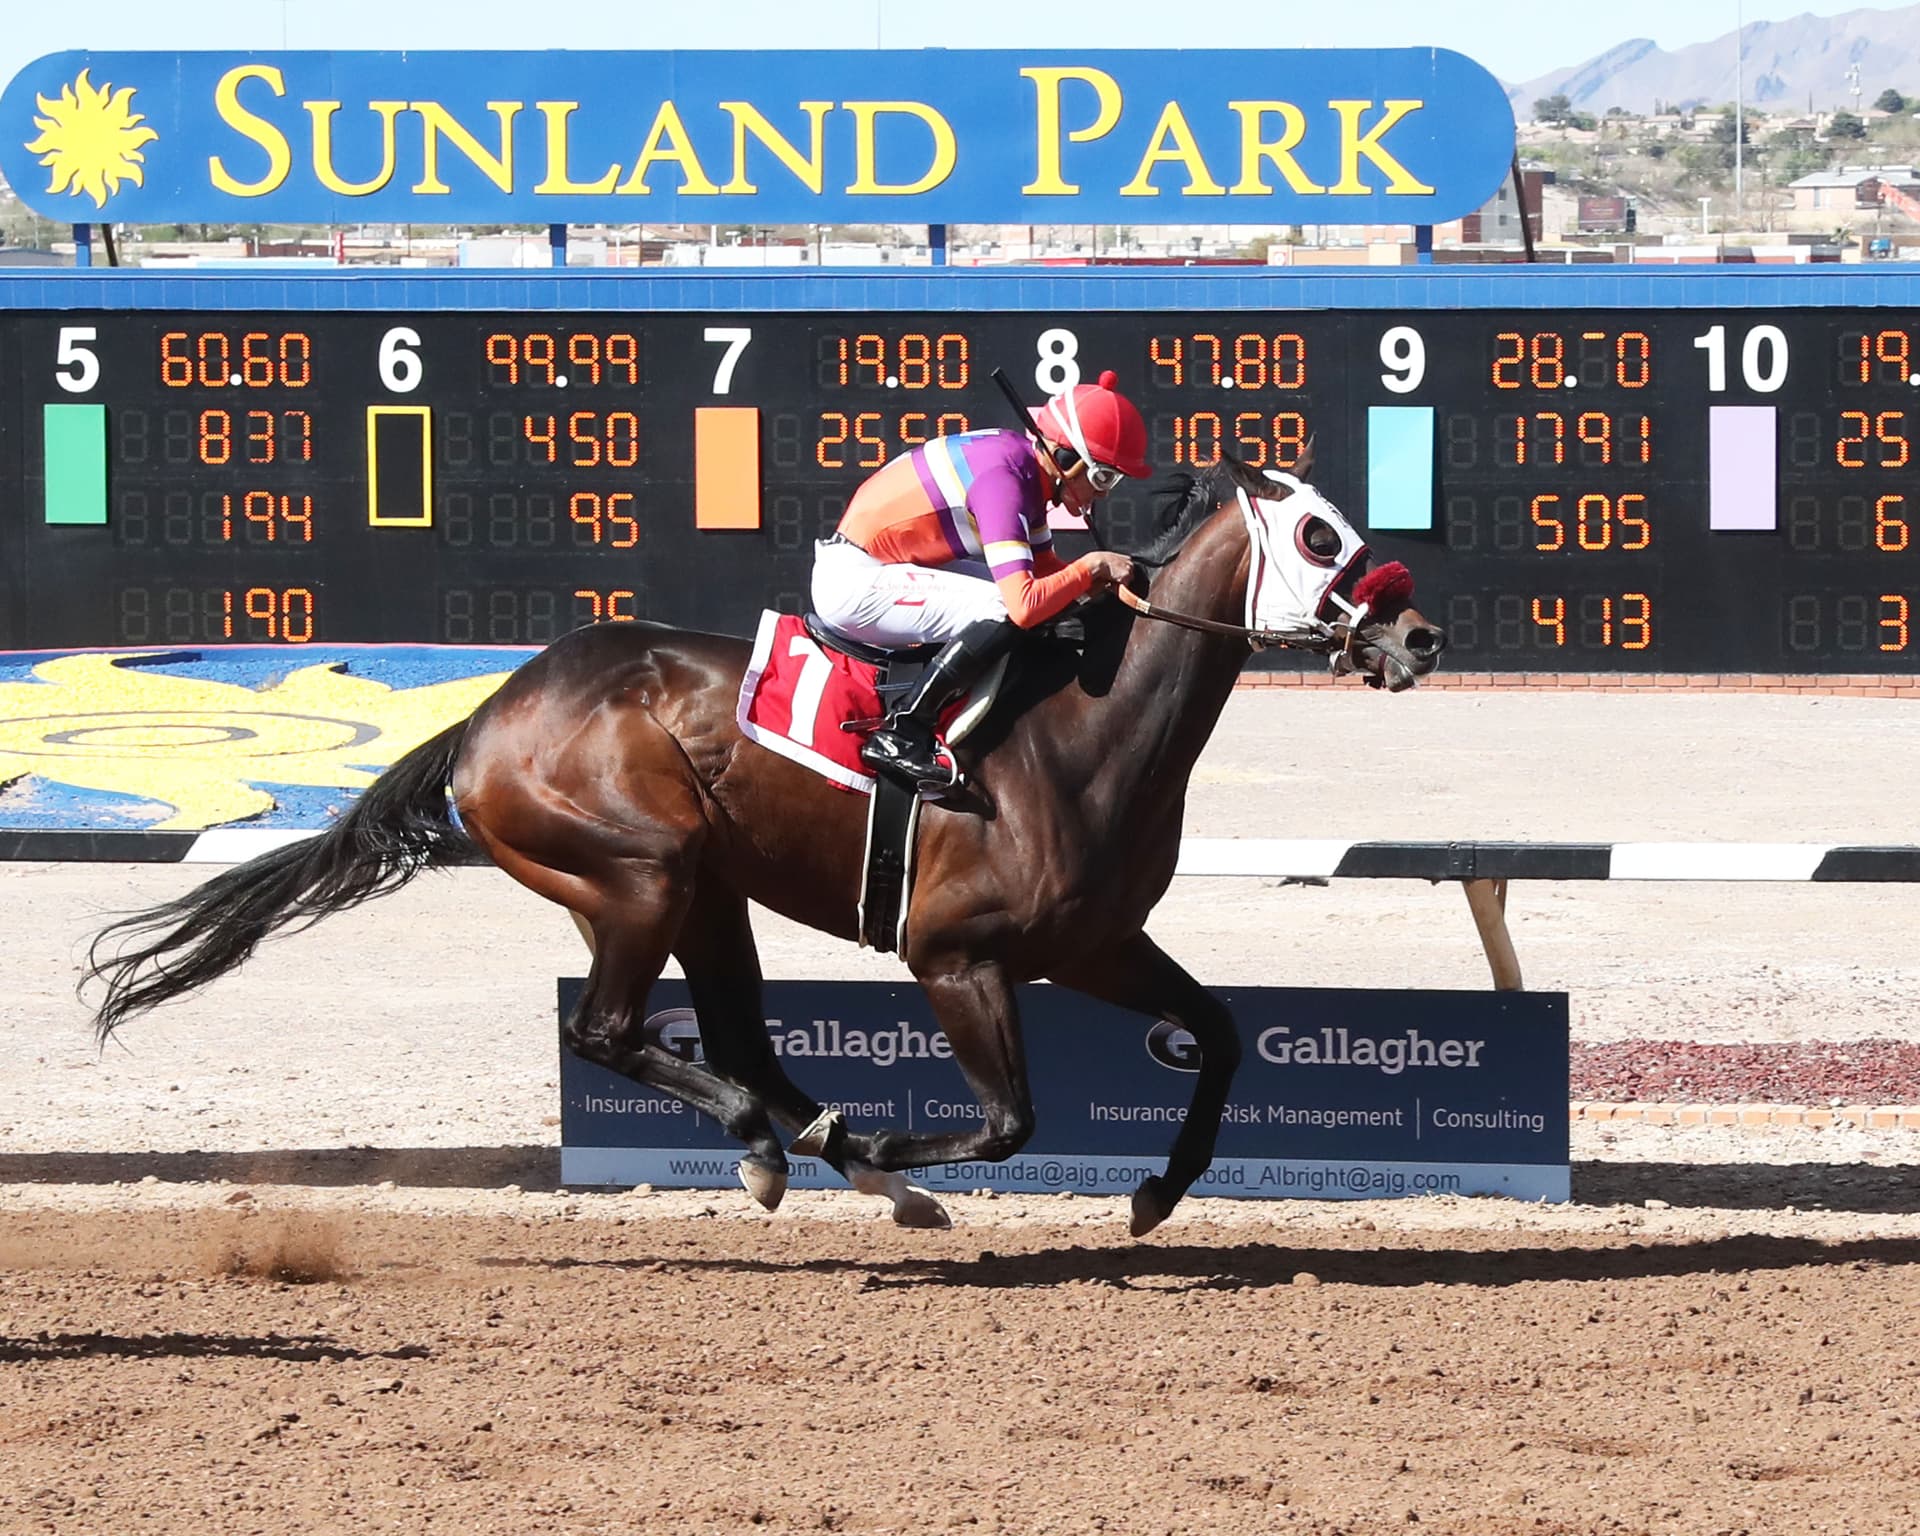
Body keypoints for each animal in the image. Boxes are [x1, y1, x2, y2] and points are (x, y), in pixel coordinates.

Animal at [85, 449, 1446, 1237]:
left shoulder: (1095, 944)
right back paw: (791, 1149)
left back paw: (836, 1156)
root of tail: (489, 712)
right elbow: (1011, 1119)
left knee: (735, 1037)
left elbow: (1221, 1035)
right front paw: (898, 1138)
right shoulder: (956, 957)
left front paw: (1159, 1190)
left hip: (705, 890)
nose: (1420, 635)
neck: (1079, 730)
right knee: (612, 1031)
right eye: (1321, 538)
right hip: (636, 874)